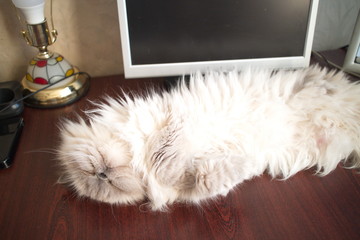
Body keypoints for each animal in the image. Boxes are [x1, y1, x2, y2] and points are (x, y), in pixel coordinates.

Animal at [56, 65, 360, 210]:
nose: (102, 174)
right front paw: (244, 166)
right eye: (100, 183)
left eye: (92, 171)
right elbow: (209, 179)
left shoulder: (171, 118)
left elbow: (163, 152)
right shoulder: (190, 185)